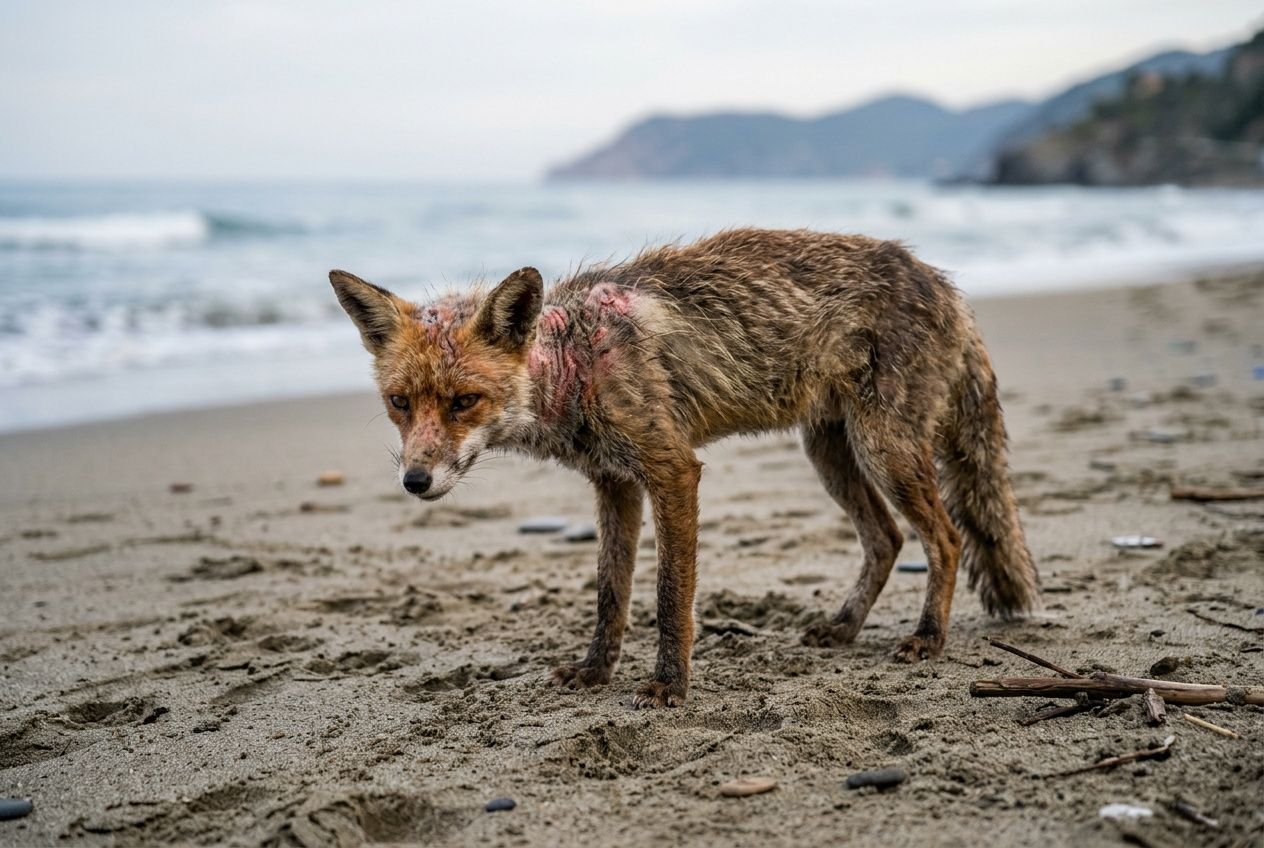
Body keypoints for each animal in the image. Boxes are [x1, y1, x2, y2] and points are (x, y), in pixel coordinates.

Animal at [330, 228, 1039, 708]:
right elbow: (611, 594)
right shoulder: (615, 484)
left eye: (463, 401)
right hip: (831, 453)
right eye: (400, 402)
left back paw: (928, 638)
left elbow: (671, 596)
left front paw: (669, 684)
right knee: (887, 539)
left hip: (883, 448)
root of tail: (942, 280)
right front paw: (595, 671)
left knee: (945, 538)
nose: (415, 481)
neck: (579, 360)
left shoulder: (672, 471)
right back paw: (843, 627)